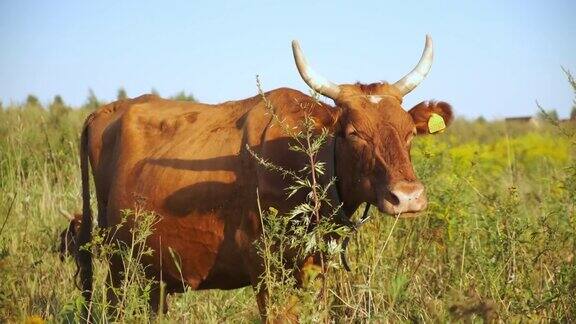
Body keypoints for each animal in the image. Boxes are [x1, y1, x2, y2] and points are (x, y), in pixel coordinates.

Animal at [76, 36, 454, 316]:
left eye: (409, 132)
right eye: (353, 133)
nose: (407, 197)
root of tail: (108, 110)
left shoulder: (316, 269)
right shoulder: (266, 268)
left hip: (152, 270)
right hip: (118, 263)